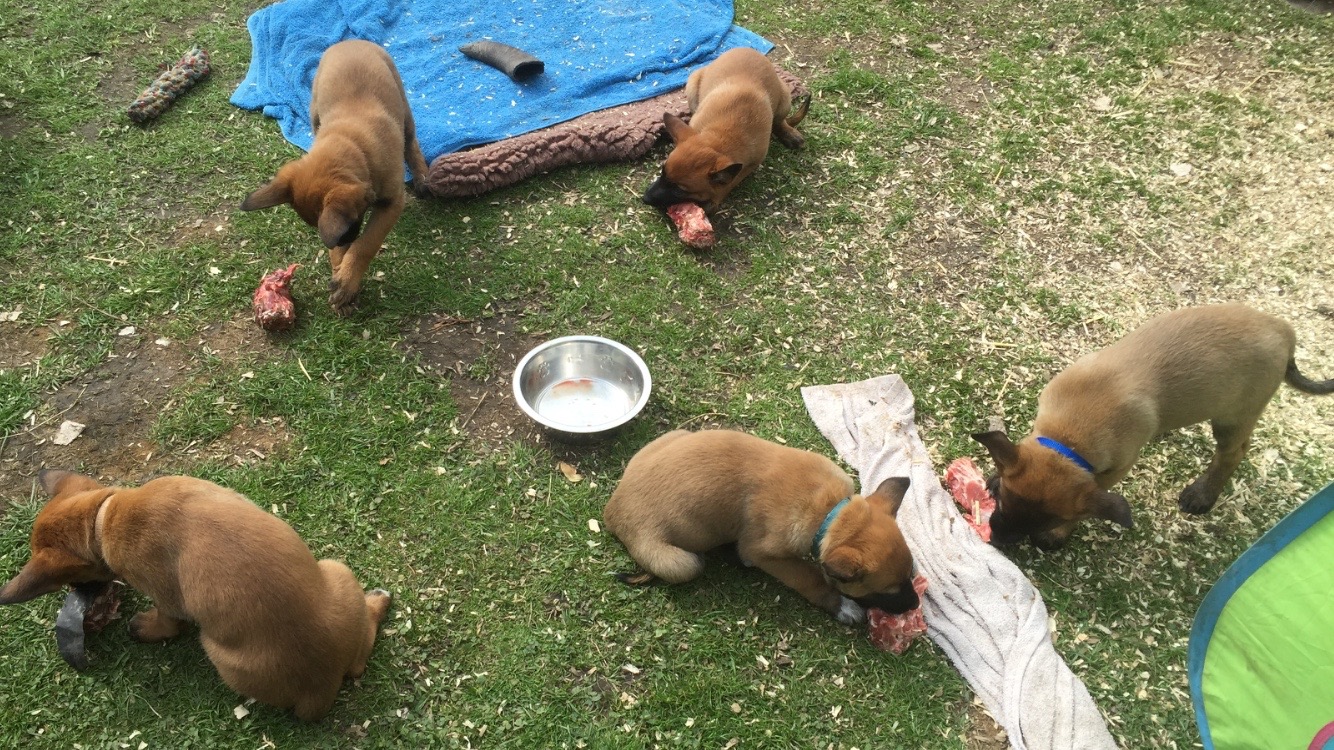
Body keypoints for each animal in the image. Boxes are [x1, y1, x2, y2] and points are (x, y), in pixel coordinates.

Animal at [0, 470, 392, 721]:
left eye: (72, 582)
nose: (81, 596)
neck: (105, 516)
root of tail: (321, 688)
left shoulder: (166, 597)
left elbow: (167, 622)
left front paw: (145, 629)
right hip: (337, 570)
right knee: (359, 659)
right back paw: (378, 601)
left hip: (217, 651)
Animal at [240, 39, 431, 315]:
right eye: (344, 232)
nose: (347, 239)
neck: (353, 144)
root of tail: (349, 41)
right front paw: (341, 271)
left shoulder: (392, 203)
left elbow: (367, 243)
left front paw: (347, 278)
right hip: (315, 108)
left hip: (403, 104)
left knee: (411, 142)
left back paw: (422, 175)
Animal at [603, 429, 917, 624]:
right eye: (888, 591)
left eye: (911, 575)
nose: (915, 605)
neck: (829, 512)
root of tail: (613, 510)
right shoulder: (765, 553)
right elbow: (809, 576)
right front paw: (840, 605)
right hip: (680, 563)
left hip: (677, 436)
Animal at [641, 47, 810, 213]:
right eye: (662, 172)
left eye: (679, 190)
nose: (645, 199)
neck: (721, 136)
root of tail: (748, 49)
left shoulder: (751, 164)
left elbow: (731, 182)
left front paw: (715, 198)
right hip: (692, 85)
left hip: (785, 98)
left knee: (779, 121)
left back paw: (789, 133)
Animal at [974, 303, 1334, 550]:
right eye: (1003, 502)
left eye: (1048, 522)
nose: (998, 539)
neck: (1070, 437)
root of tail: (1284, 331)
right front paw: (996, 474)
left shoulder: (1115, 468)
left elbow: (1092, 503)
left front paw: (1058, 534)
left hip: (1234, 416)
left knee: (1233, 453)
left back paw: (1202, 494)